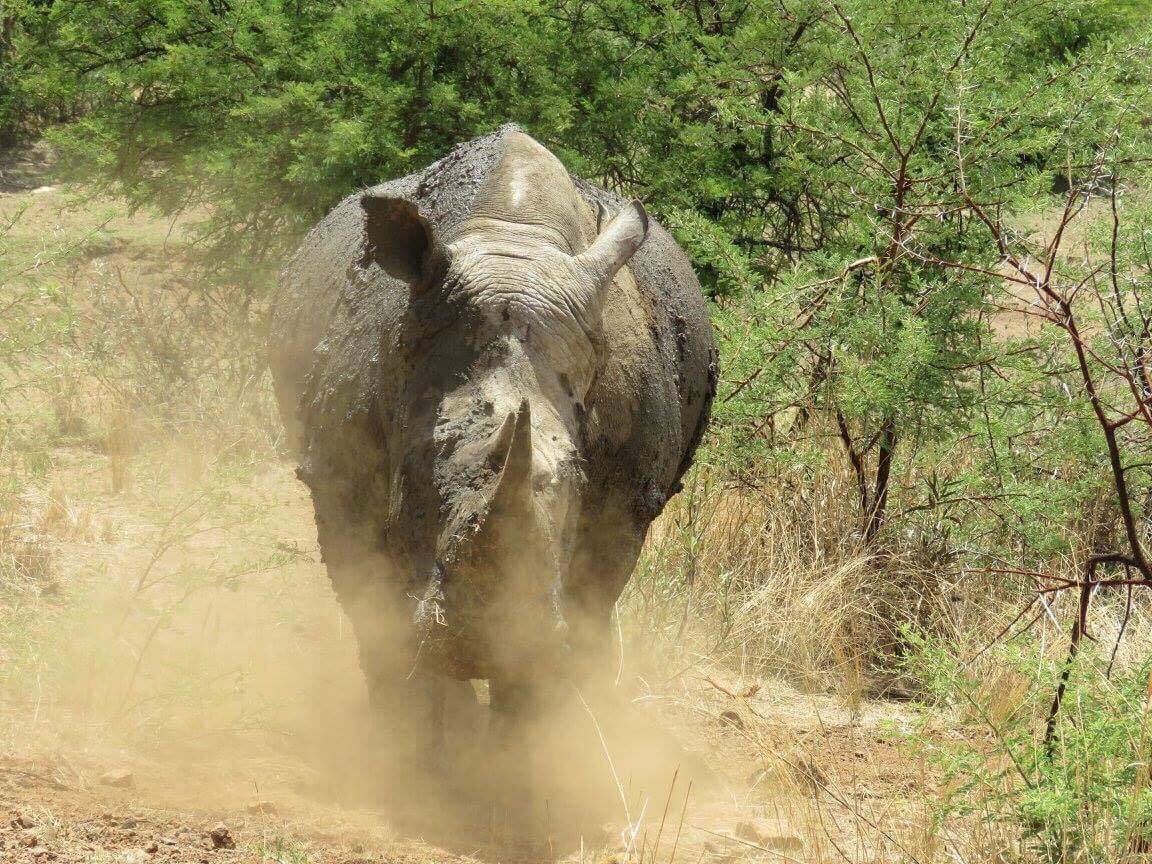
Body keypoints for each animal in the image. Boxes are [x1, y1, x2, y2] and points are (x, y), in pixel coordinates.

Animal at [270, 125, 716, 759]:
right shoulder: (340, 477)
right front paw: (411, 746)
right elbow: (374, 609)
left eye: (576, 478)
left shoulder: (623, 501)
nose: (481, 645)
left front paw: (523, 748)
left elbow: (582, 607)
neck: (512, 243)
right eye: (417, 468)